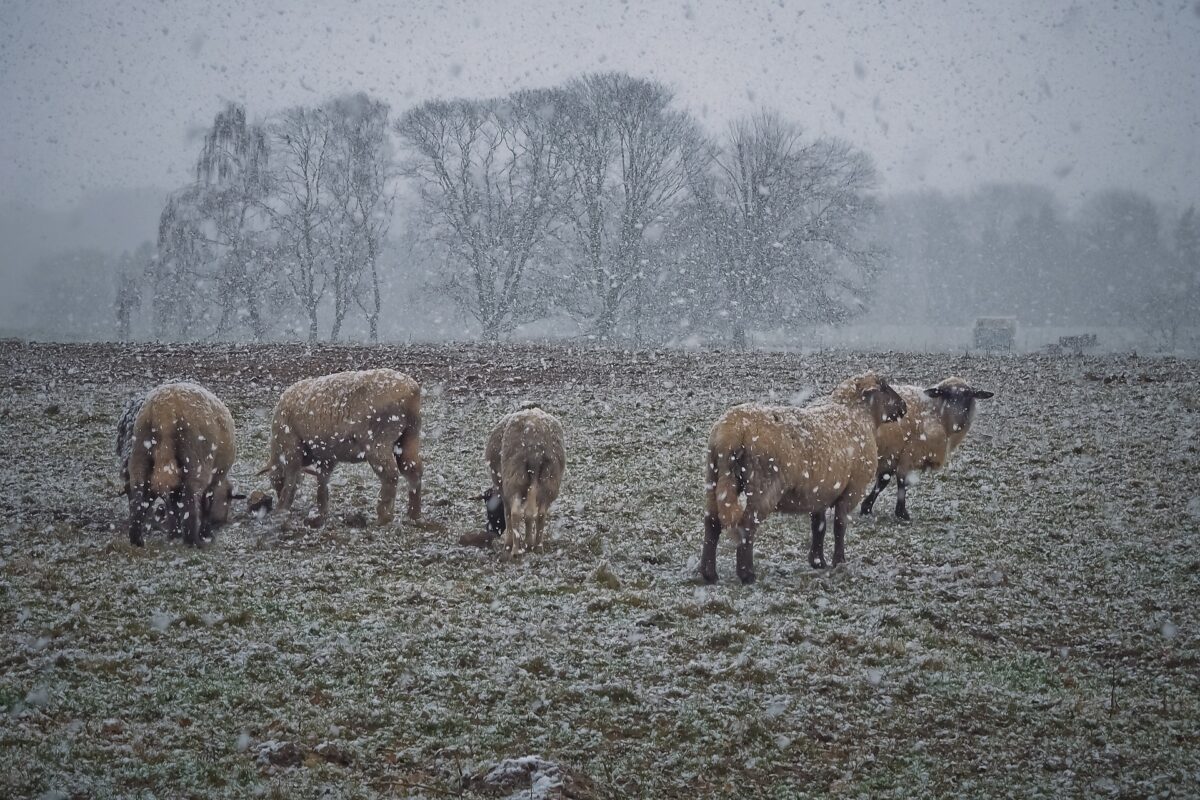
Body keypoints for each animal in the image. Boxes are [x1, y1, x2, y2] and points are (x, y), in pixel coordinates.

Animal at [123, 383, 237, 546]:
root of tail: (164, 409)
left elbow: (173, 503)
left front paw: (174, 534)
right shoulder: (215, 478)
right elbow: (206, 503)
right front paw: (205, 534)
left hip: (141, 450)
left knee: (140, 492)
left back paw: (137, 539)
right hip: (195, 458)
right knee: (190, 495)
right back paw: (193, 541)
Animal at [264, 369, 427, 525]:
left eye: (273, 479)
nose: (277, 494)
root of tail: (411, 391)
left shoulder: (291, 448)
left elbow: (291, 480)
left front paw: (281, 509)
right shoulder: (326, 456)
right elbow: (322, 481)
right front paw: (321, 512)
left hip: (378, 440)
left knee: (390, 475)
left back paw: (383, 517)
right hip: (409, 435)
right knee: (413, 470)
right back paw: (414, 515)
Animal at [482, 407, 566, 556]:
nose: (492, 531)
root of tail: (536, 447)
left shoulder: (503, 490)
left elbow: (507, 514)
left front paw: (508, 545)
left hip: (515, 477)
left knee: (515, 513)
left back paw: (516, 550)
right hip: (549, 479)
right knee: (539, 513)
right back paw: (536, 546)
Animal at [700, 371, 902, 585]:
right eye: (885, 387)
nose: (904, 406)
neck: (860, 415)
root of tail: (734, 431)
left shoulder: (821, 491)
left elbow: (818, 526)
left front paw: (817, 562)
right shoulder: (853, 489)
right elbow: (840, 526)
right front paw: (839, 562)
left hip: (714, 477)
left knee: (711, 522)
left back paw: (709, 574)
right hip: (763, 486)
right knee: (746, 526)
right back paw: (747, 574)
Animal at [864, 376, 993, 522]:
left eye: (969, 397)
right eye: (946, 395)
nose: (959, 423)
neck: (934, 412)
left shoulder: (893, 455)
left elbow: (883, 481)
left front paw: (866, 507)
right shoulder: (909, 453)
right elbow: (900, 482)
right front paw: (901, 513)